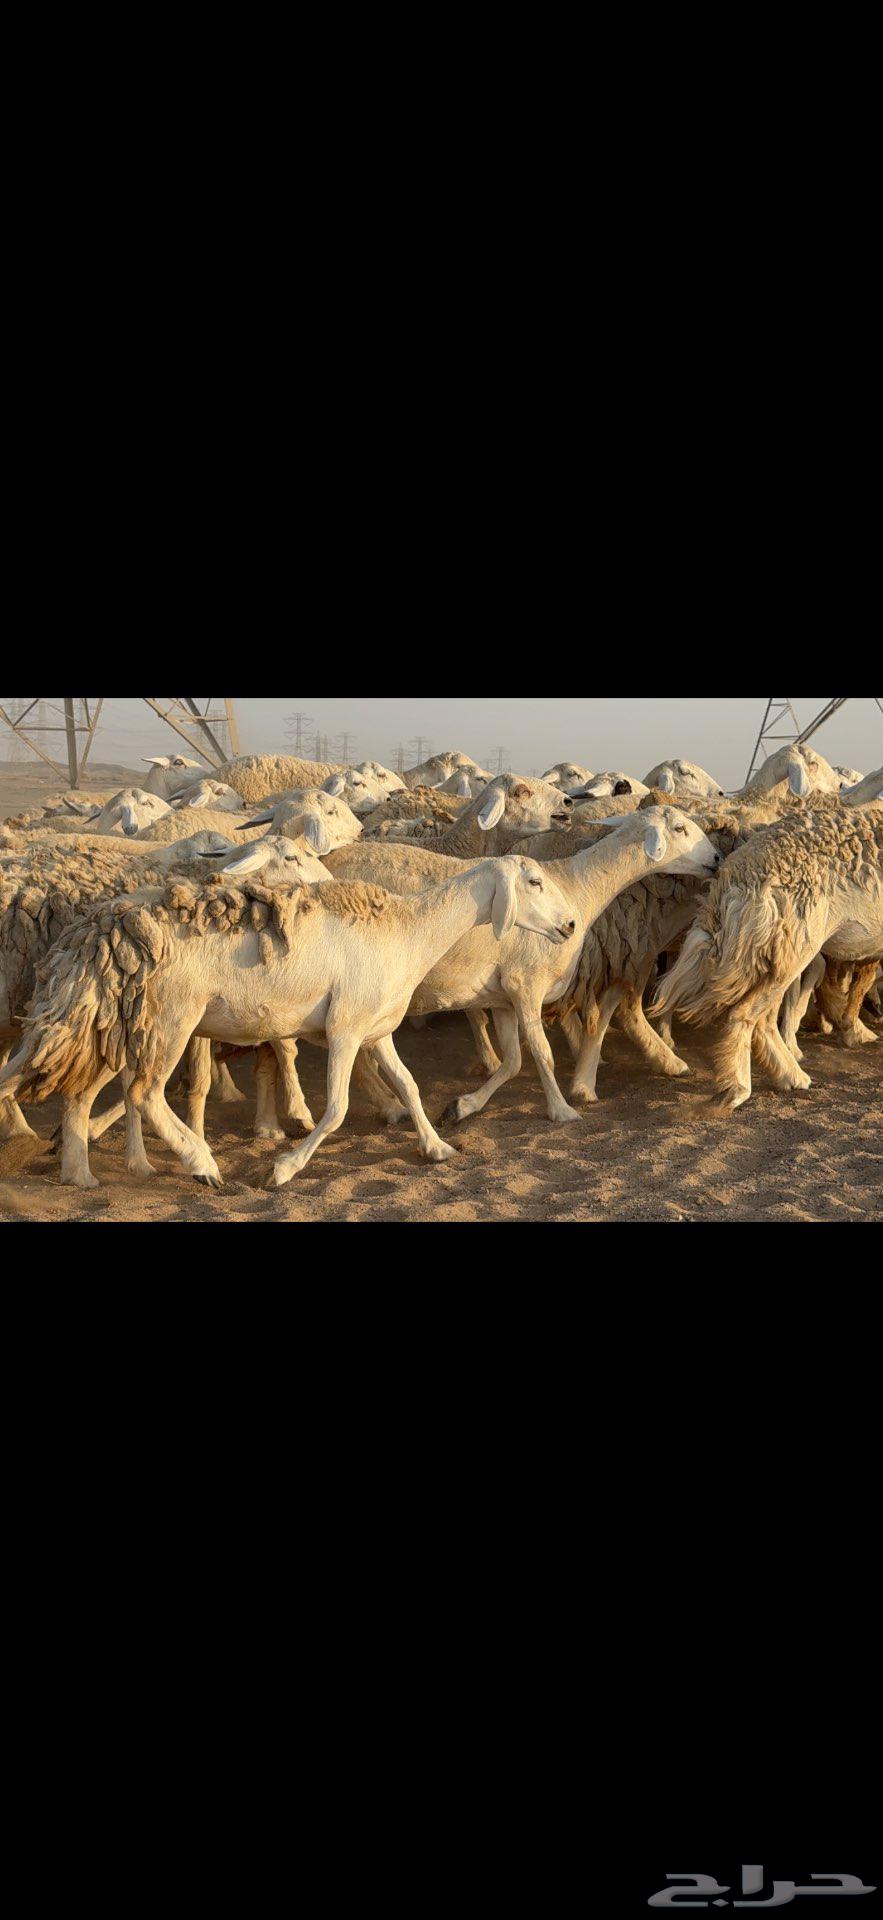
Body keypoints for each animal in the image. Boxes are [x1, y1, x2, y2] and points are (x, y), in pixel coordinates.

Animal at [0, 857, 576, 1189]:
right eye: (535, 881)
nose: (570, 925)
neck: (411, 932)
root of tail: (105, 924)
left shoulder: (377, 1031)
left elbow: (410, 1086)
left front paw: (437, 1145)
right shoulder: (345, 1030)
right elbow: (338, 1109)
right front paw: (282, 1167)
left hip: (125, 1020)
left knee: (91, 1089)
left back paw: (88, 1172)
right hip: (171, 1017)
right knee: (144, 1092)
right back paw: (202, 1164)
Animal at [649, 804, 883, 1109]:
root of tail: (736, 875)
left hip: (777, 955)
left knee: (764, 1020)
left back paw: (790, 1076)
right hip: (792, 952)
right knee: (744, 1014)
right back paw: (739, 1088)